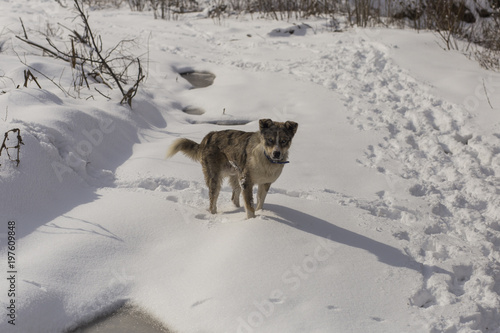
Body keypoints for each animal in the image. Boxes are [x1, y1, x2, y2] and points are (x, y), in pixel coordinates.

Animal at [166, 118, 298, 218]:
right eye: (270, 140)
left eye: (284, 141)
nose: (276, 153)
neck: (265, 159)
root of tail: (209, 136)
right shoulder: (246, 181)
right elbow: (250, 205)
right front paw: (252, 220)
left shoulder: (265, 182)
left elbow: (260, 201)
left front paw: (261, 212)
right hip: (214, 177)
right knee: (213, 200)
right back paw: (213, 215)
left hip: (235, 174)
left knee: (234, 197)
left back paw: (236, 208)